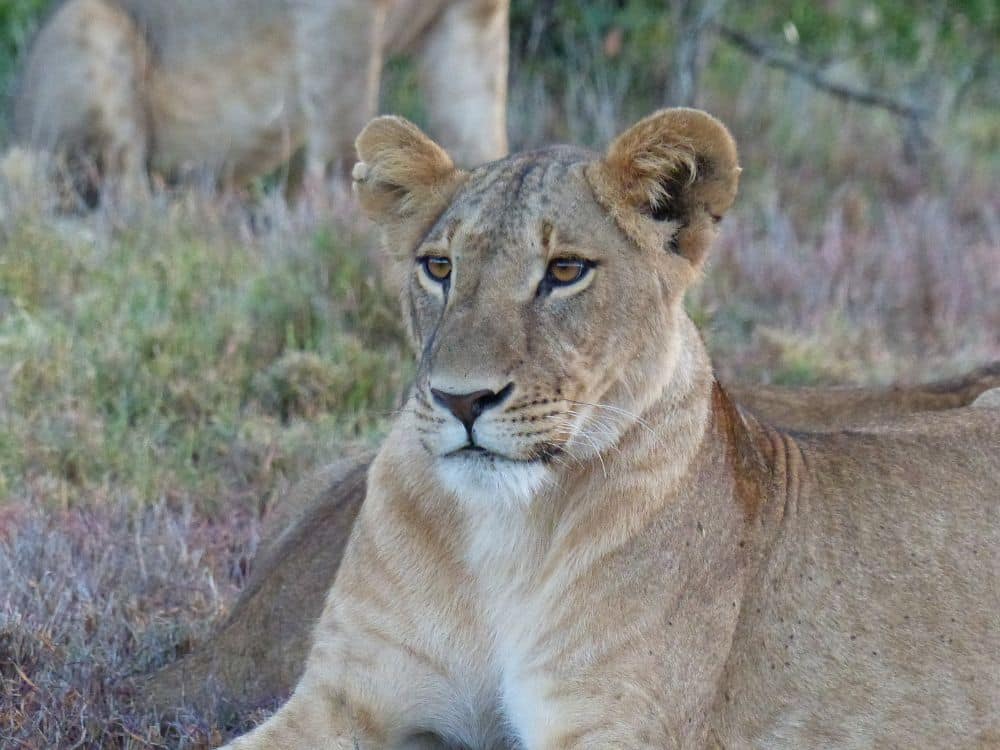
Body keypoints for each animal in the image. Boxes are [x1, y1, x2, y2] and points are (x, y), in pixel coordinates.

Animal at [17, 0, 508, 201]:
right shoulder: (342, 12)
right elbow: (343, 139)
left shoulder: (474, 15)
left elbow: (481, 132)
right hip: (87, 23)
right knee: (120, 192)